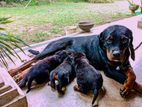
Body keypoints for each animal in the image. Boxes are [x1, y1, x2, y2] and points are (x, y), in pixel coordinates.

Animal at [9, 25, 142, 97]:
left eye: (125, 40)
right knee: (30, 61)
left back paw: (21, 75)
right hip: (52, 49)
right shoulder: (109, 70)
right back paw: (14, 72)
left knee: (33, 63)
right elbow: (127, 78)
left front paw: (129, 85)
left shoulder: (125, 64)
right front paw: (131, 87)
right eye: (109, 40)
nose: (116, 54)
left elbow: (133, 75)